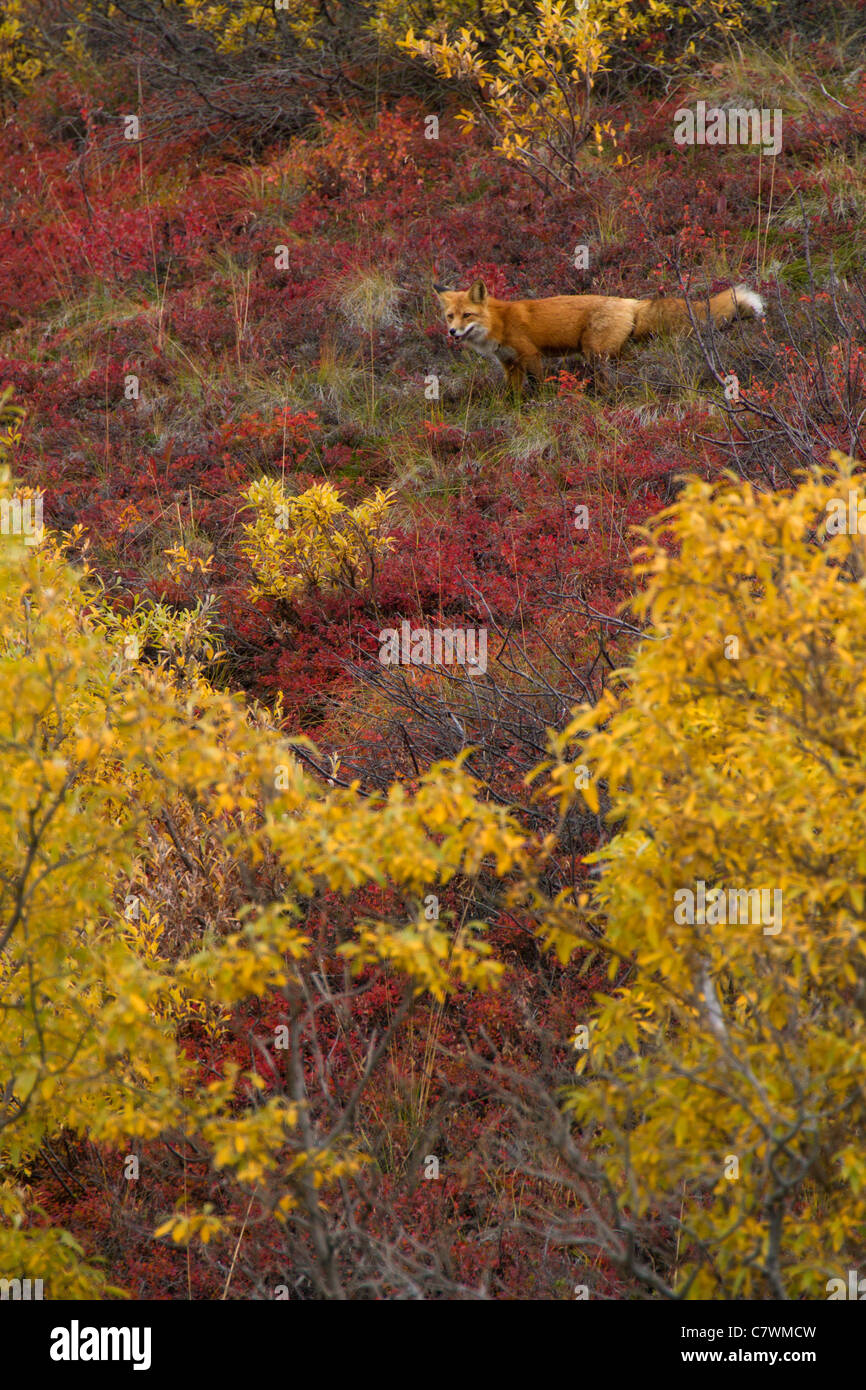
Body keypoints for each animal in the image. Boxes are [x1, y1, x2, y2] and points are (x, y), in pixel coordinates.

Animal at [436, 278, 761, 391]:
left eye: (467, 316)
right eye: (450, 316)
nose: (452, 332)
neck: (500, 323)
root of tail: (629, 301)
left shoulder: (531, 355)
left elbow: (538, 386)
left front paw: (539, 405)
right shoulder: (509, 365)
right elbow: (512, 396)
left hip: (596, 354)